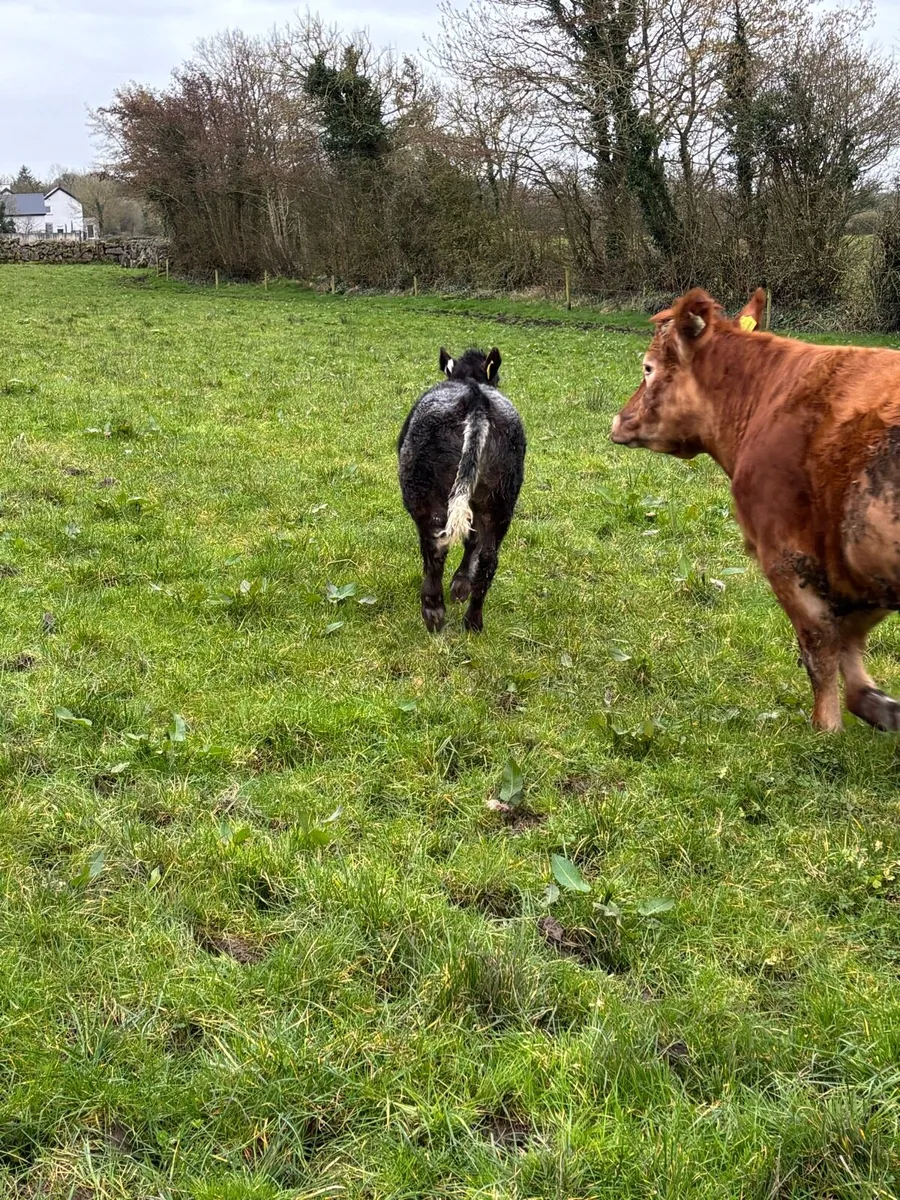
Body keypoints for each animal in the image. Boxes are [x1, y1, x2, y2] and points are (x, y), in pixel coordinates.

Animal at [610, 286, 900, 733]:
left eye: (648, 368)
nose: (619, 419)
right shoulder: (859, 568)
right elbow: (848, 640)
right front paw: (877, 704)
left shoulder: (787, 556)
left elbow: (820, 647)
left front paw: (827, 727)